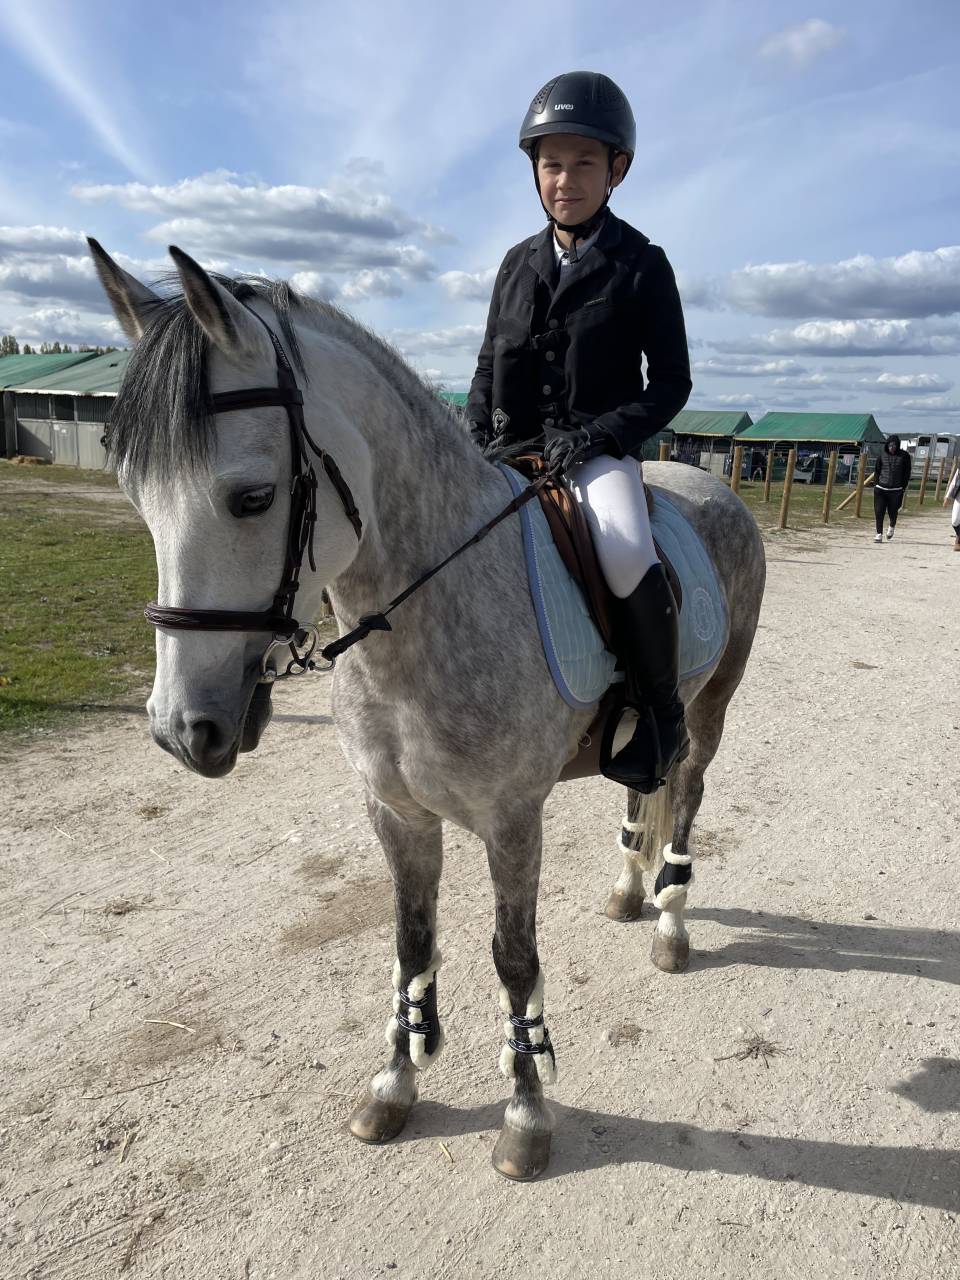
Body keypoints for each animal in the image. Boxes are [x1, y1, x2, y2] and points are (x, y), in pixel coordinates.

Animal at [89, 240, 766, 1182]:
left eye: (253, 497)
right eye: (133, 493)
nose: (183, 729)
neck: (424, 614)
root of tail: (706, 486)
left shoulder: (513, 821)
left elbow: (513, 958)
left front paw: (525, 1117)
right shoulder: (397, 812)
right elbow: (411, 942)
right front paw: (394, 1087)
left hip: (712, 704)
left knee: (689, 790)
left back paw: (669, 921)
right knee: (647, 785)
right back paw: (629, 891)